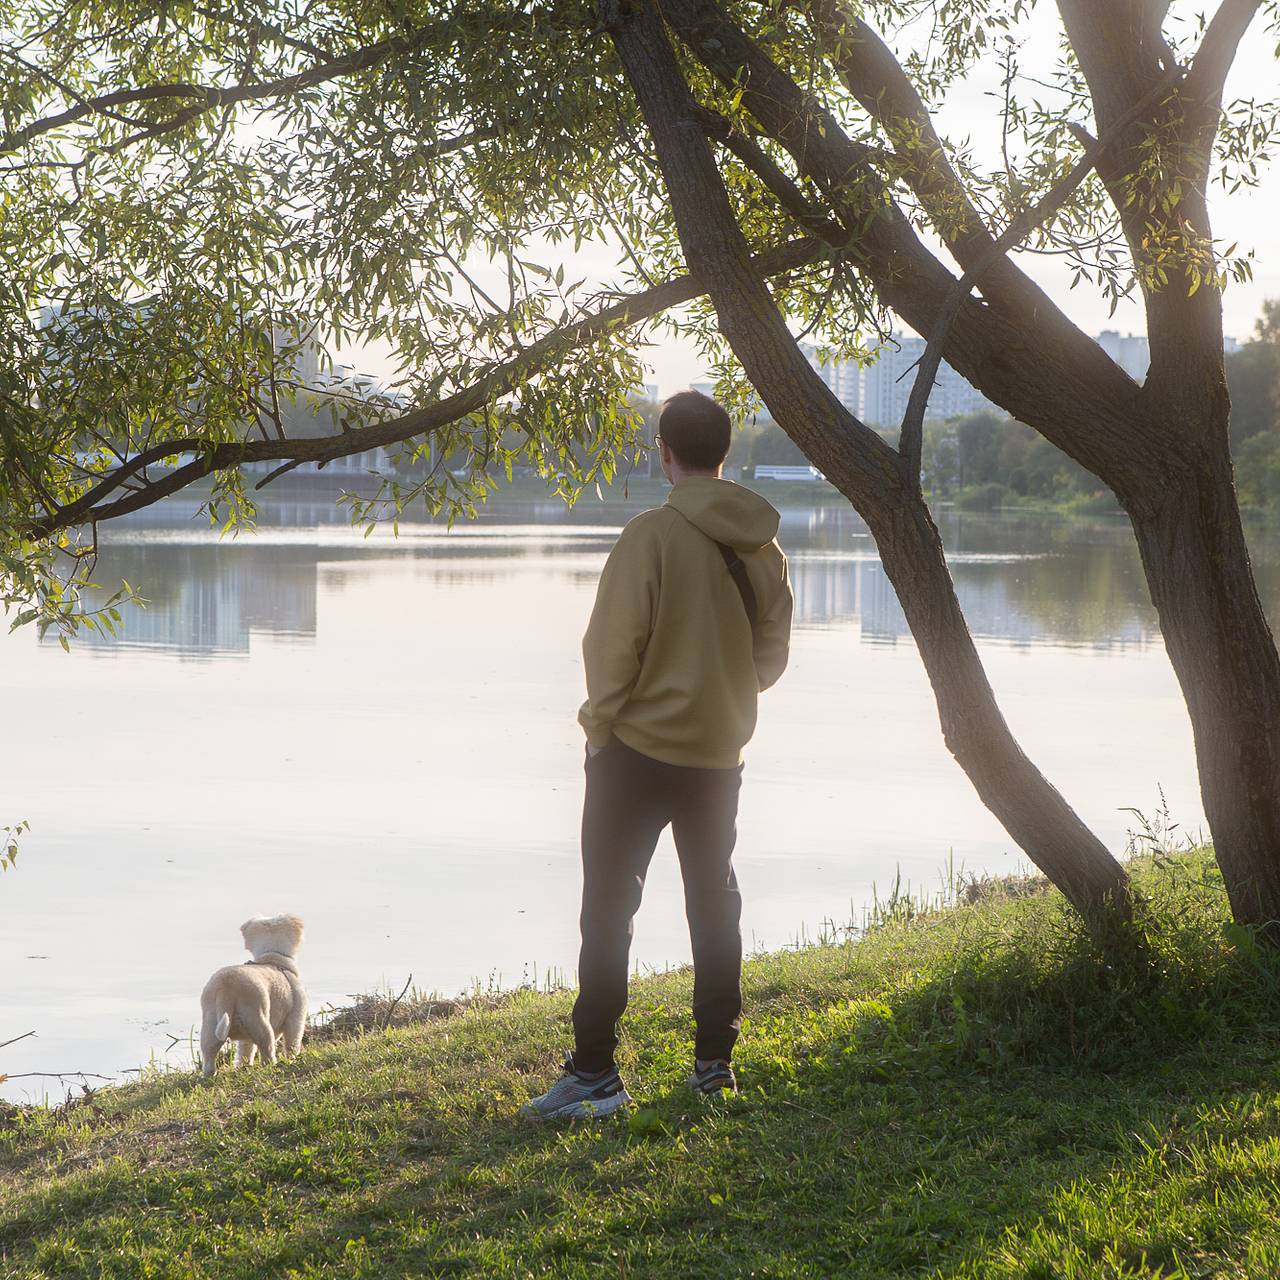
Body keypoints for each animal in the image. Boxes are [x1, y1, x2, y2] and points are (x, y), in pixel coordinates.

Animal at [200, 911, 308, 1080]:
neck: (271, 957)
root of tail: (227, 988)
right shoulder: (296, 1018)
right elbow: (292, 1044)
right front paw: (293, 1059)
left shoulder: (245, 1039)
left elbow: (245, 1050)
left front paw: (243, 1066)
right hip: (259, 1019)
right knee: (267, 1051)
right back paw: (273, 1066)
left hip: (210, 1023)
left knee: (209, 1054)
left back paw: (210, 1075)